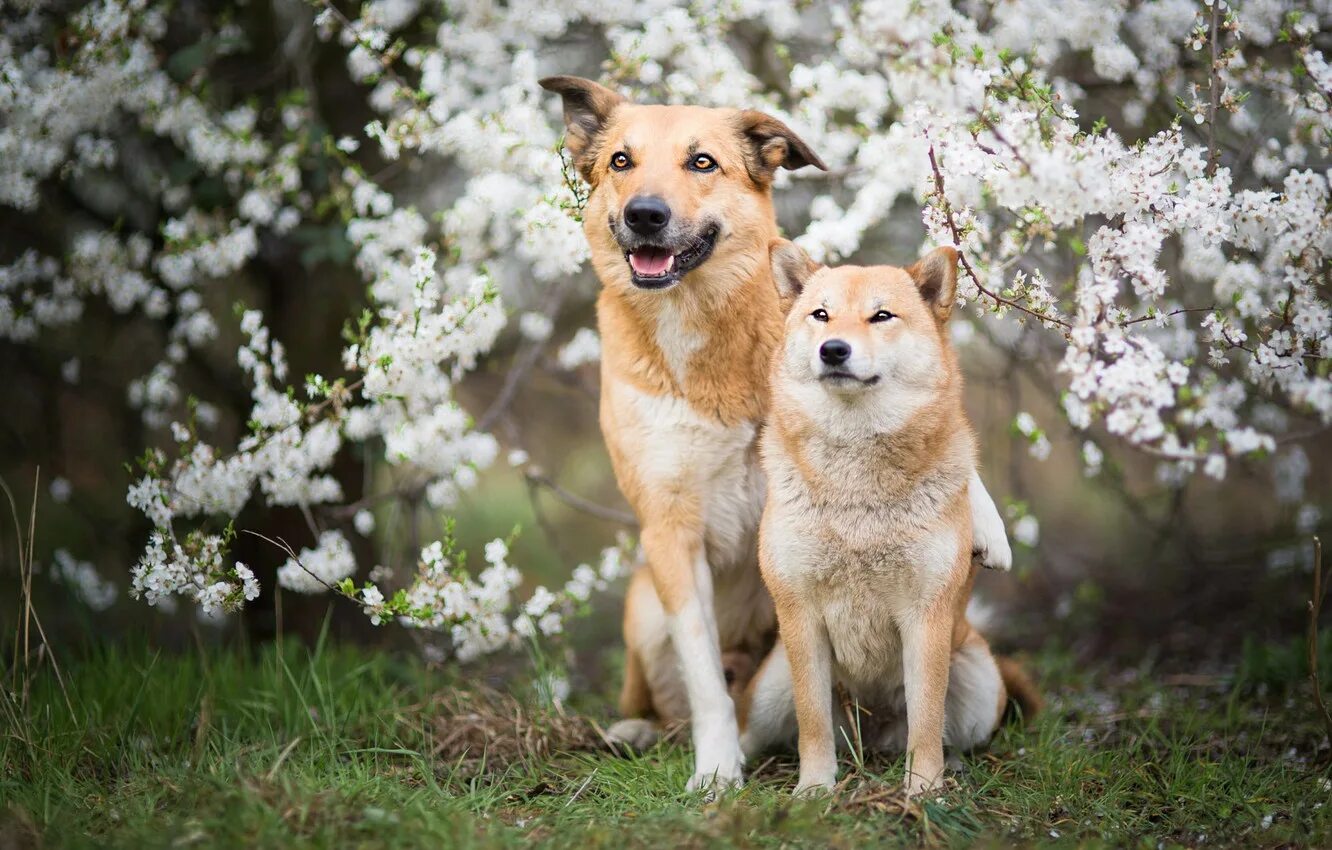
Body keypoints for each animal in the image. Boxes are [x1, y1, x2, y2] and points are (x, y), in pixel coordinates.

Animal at [740, 245, 1038, 799]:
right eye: (821, 314)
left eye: (882, 316)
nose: (833, 350)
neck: (857, 490)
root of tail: (872, 733)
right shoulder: (800, 616)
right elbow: (812, 724)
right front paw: (814, 790)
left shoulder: (926, 618)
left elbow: (926, 720)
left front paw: (923, 792)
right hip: (772, 684)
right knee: (754, 725)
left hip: (978, 680)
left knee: (945, 732)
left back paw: (952, 766)